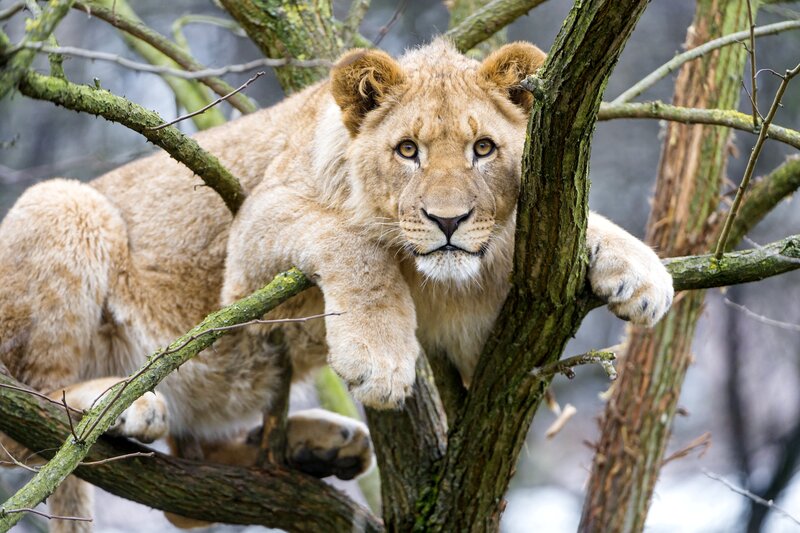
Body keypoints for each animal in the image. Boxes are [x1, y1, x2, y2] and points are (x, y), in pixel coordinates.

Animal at [0, 40, 673, 530]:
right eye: (408, 150)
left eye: (484, 148)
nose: (448, 222)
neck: (429, 275)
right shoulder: (252, 238)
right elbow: (355, 239)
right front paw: (379, 356)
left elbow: (563, 225)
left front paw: (642, 272)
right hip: (64, 202)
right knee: (34, 426)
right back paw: (120, 405)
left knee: (188, 498)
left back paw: (318, 446)